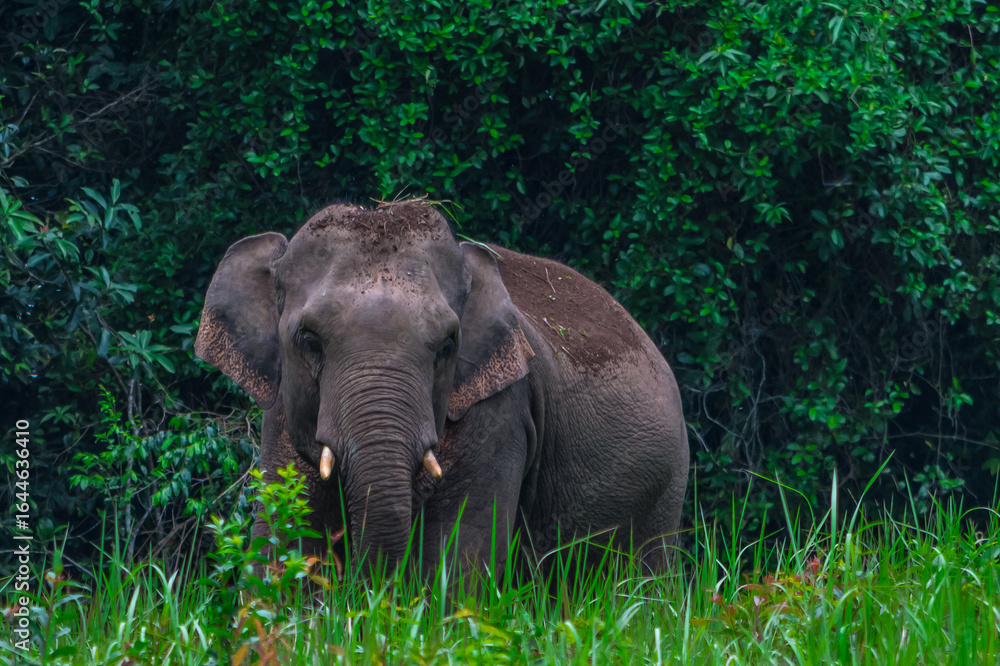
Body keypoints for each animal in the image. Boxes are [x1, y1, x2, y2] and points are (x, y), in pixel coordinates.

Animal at [195, 201, 689, 577]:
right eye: (309, 340)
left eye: (448, 344)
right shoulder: (280, 411)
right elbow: (282, 547)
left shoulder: (502, 413)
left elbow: (460, 562)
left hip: (663, 490)